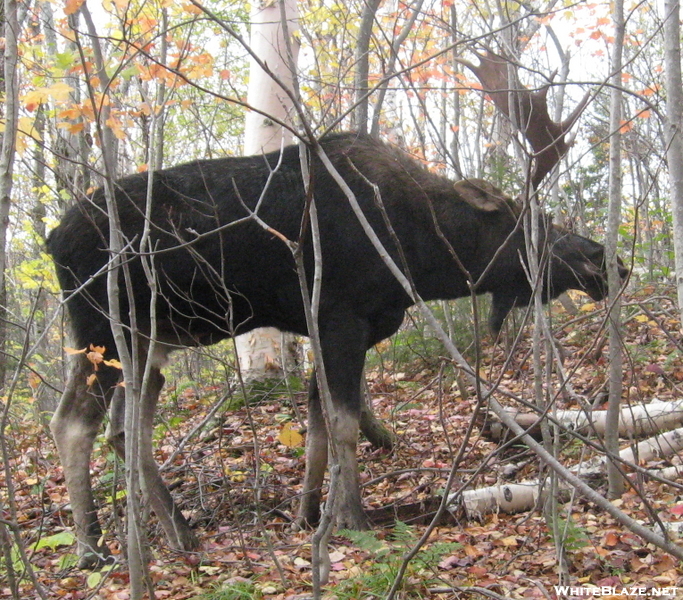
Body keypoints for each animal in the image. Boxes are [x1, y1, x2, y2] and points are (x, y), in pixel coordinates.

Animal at [46, 131, 624, 568]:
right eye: (534, 222)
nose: (607, 262)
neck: (418, 251)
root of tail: (52, 239)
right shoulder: (340, 320)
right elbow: (344, 423)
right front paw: (354, 518)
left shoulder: (331, 329)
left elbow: (317, 423)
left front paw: (307, 514)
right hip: (103, 331)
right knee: (73, 422)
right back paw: (91, 546)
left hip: (146, 345)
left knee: (125, 430)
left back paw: (174, 531)